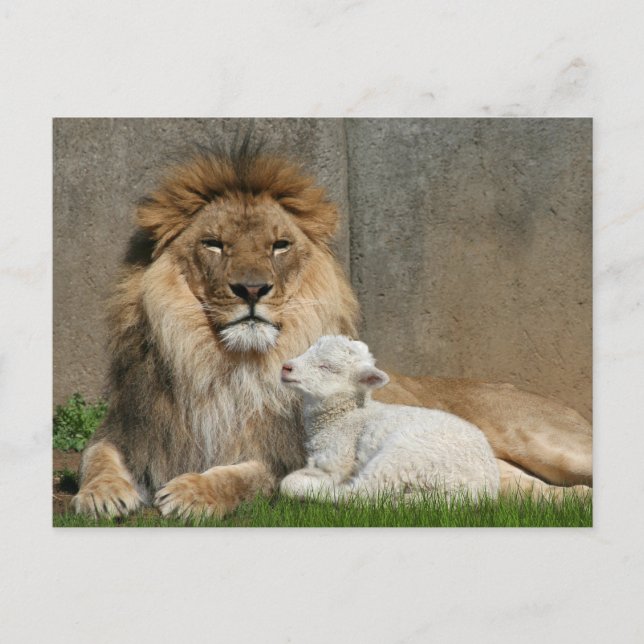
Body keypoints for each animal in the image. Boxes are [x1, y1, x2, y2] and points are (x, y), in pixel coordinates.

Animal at [279, 335, 500, 503]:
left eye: (327, 367)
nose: (285, 367)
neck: (346, 416)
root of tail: (473, 492)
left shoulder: (337, 456)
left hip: (401, 459)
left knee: (359, 495)